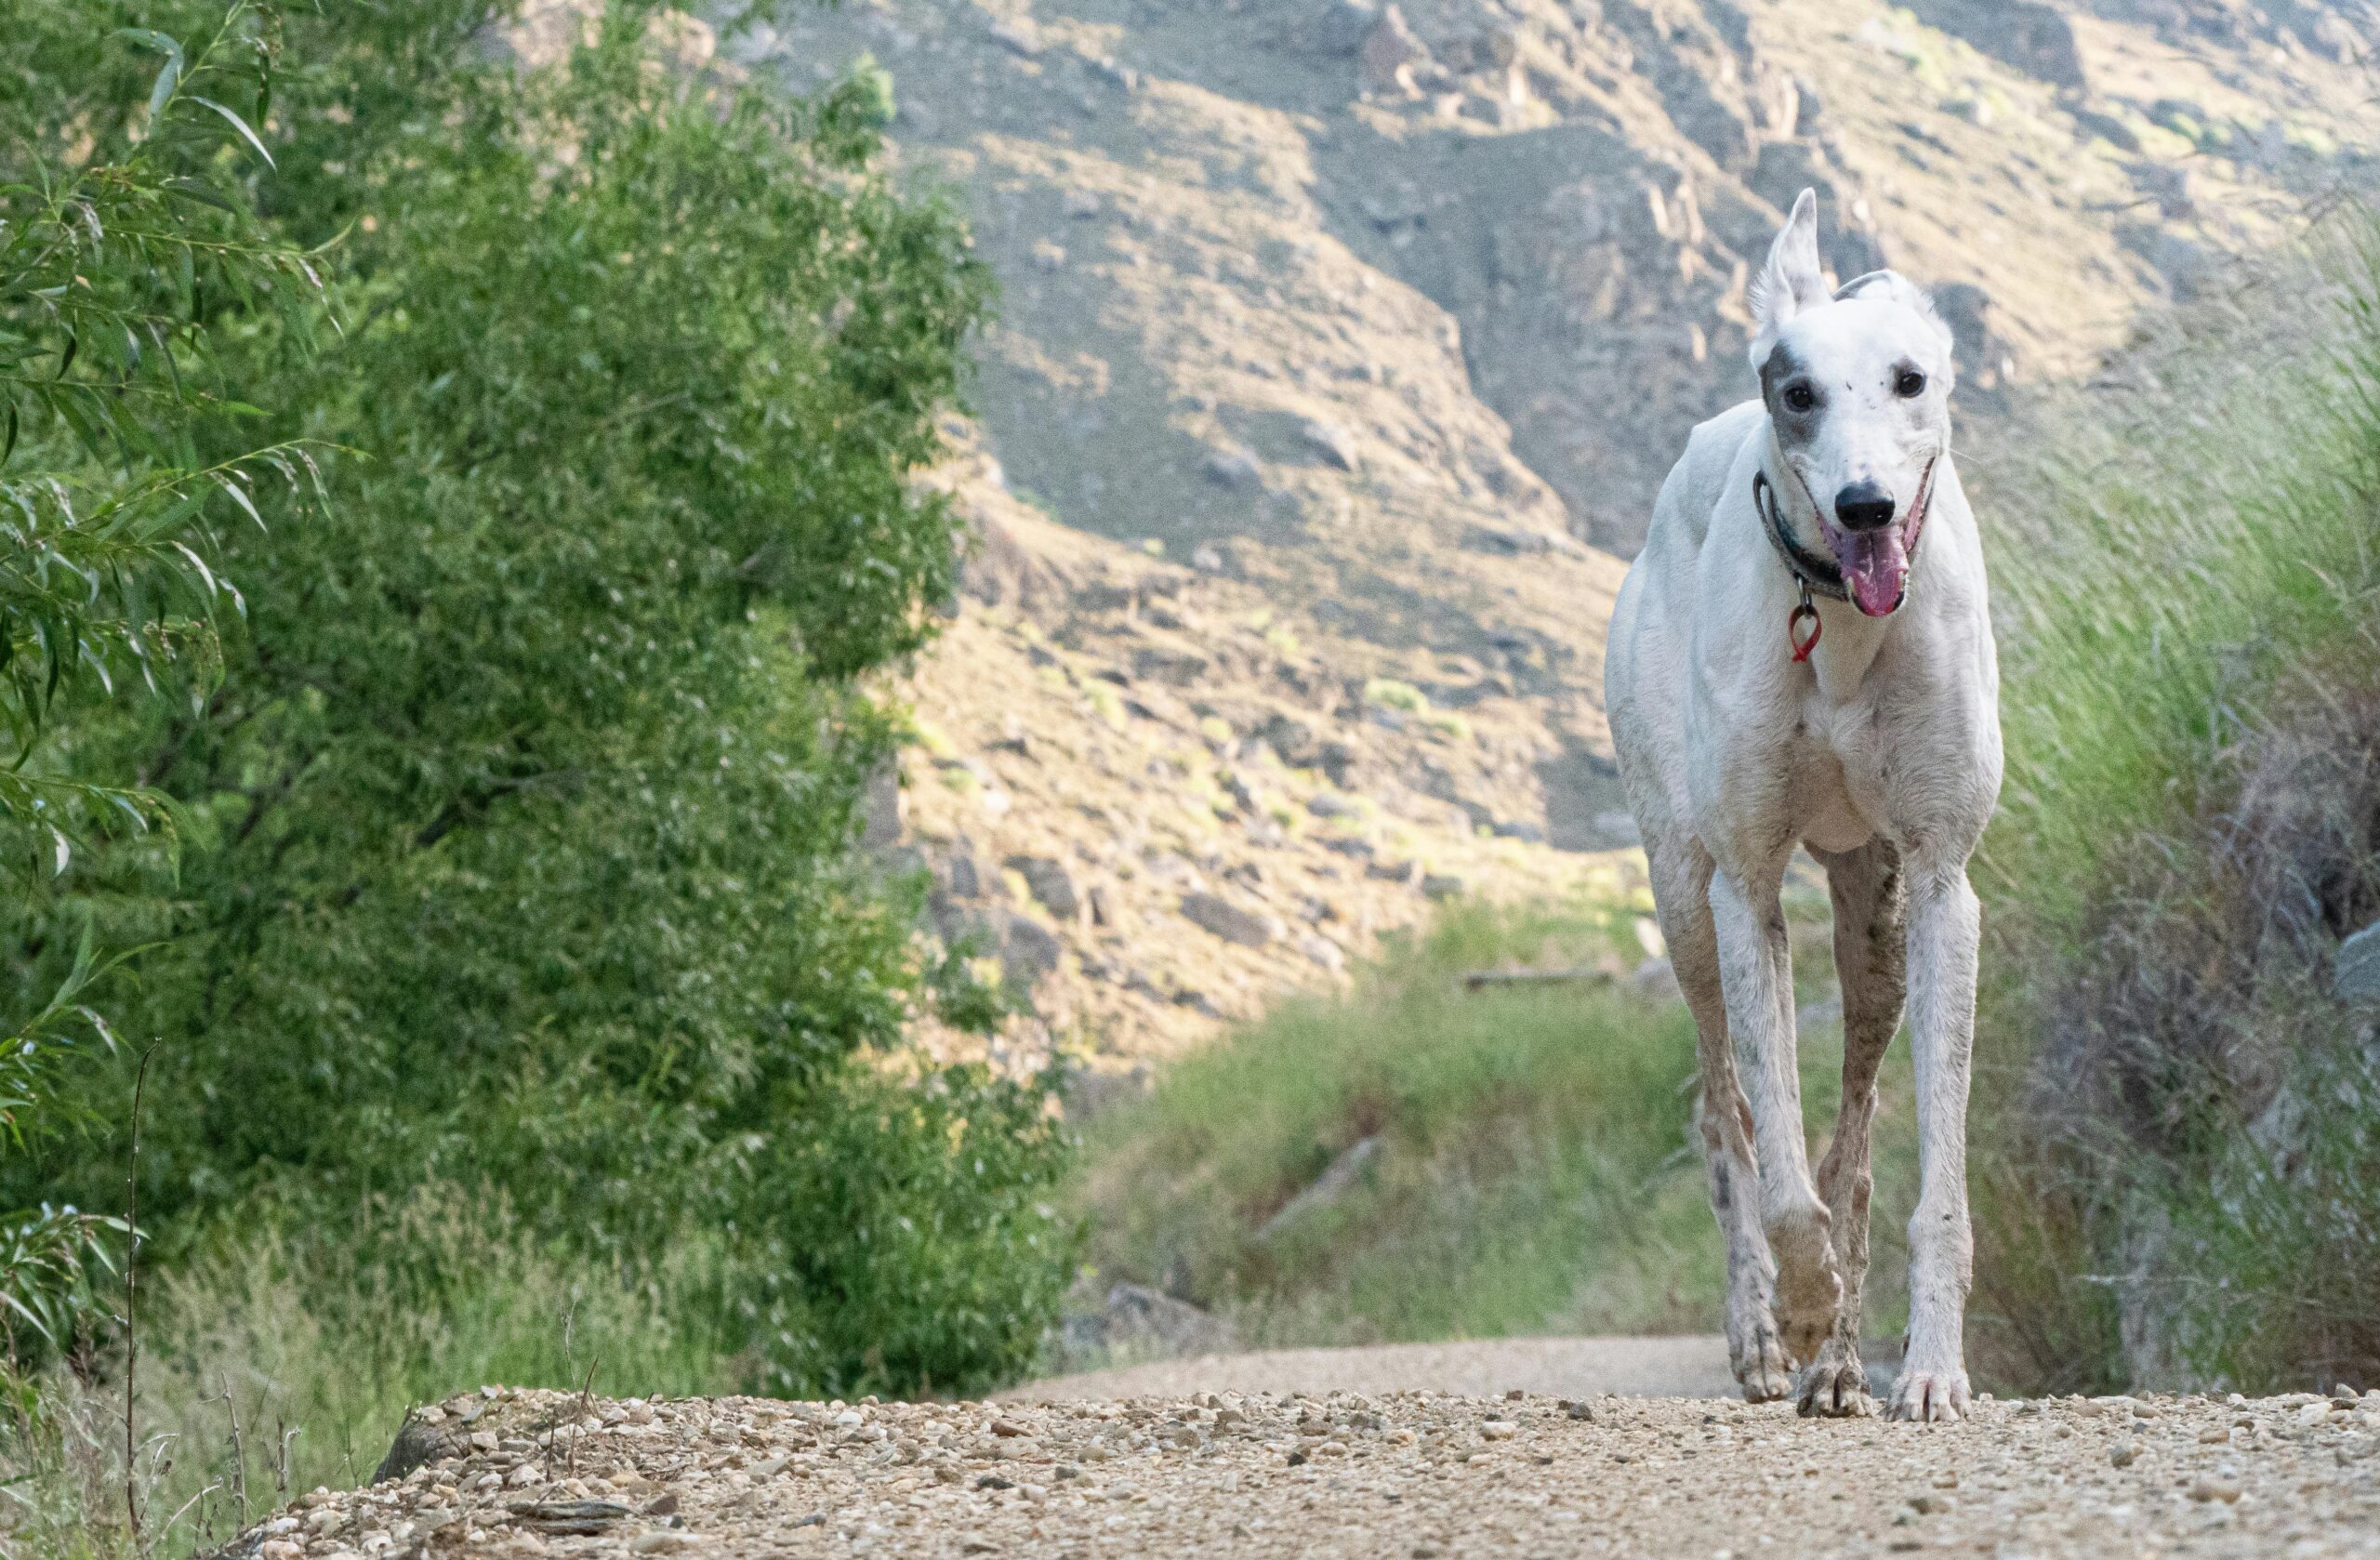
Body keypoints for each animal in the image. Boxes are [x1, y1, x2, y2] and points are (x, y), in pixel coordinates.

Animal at [1599, 189, 2008, 1419]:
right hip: (1681, 892)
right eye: (1799, 393)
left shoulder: (1939, 882)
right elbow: (1774, 1168)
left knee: (1853, 1147)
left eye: (1910, 380)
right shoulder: (1744, 887)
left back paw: (1837, 1366)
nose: (1864, 505)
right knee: (1727, 1118)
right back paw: (1766, 1333)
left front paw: (1928, 1367)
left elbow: (1924, 1182)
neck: (1838, 627)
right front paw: (1809, 1299)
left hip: (1873, 918)